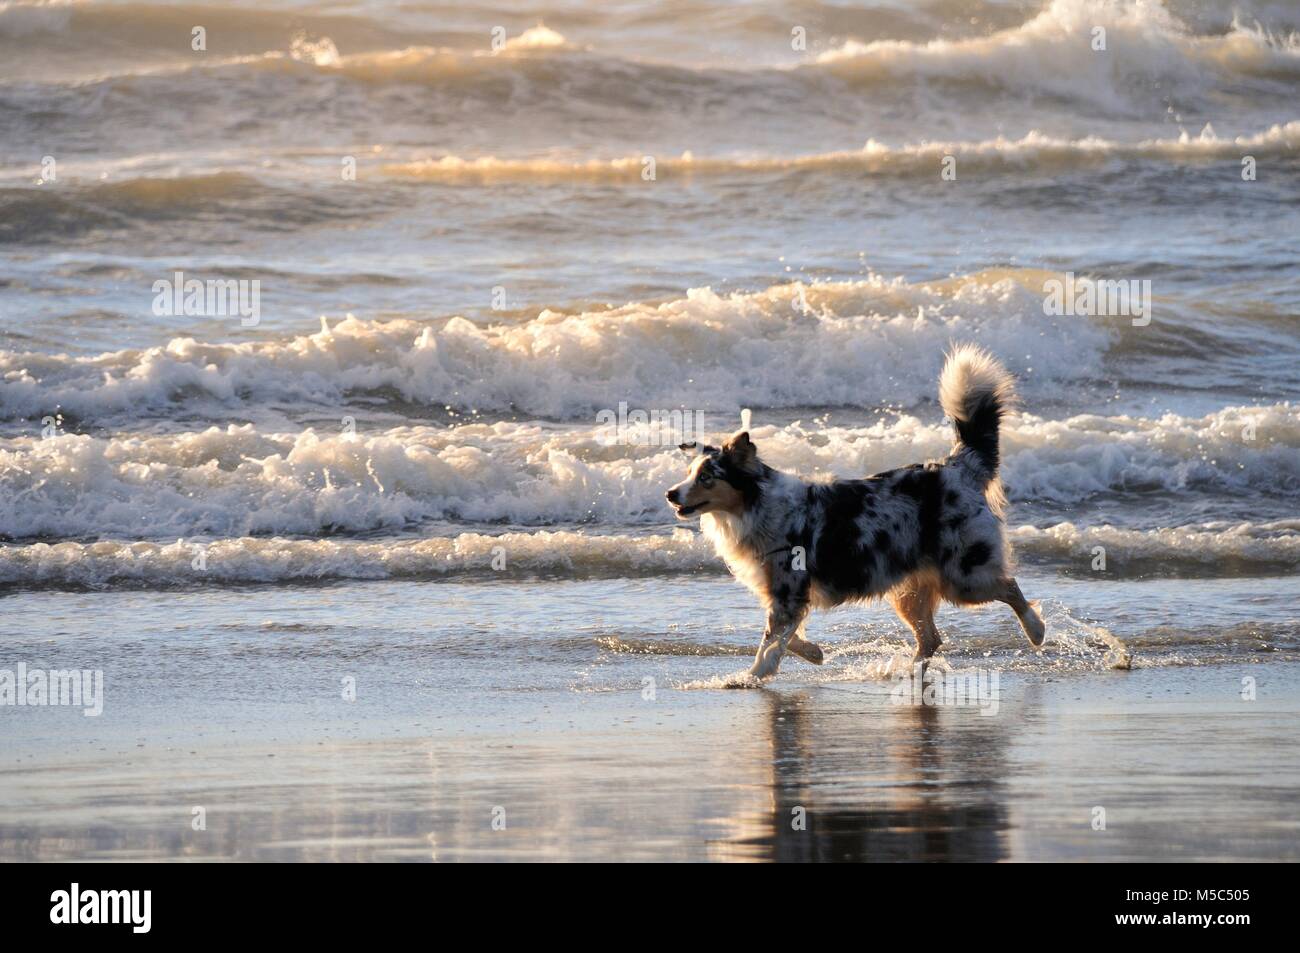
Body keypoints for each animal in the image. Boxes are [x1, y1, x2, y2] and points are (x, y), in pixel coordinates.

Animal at [670, 345, 1045, 681]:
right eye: (689, 472)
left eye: (706, 477)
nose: (671, 494)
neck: (755, 506)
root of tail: (957, 466)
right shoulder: (781, 594)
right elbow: (788, 637)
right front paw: (814, 653)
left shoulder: (789, 590)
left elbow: (771, 640)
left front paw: (751, 676)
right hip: (911, 591)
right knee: (931, 638)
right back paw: (908, 673)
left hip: (964, 576)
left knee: (1010, 587)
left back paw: (1037, 631)